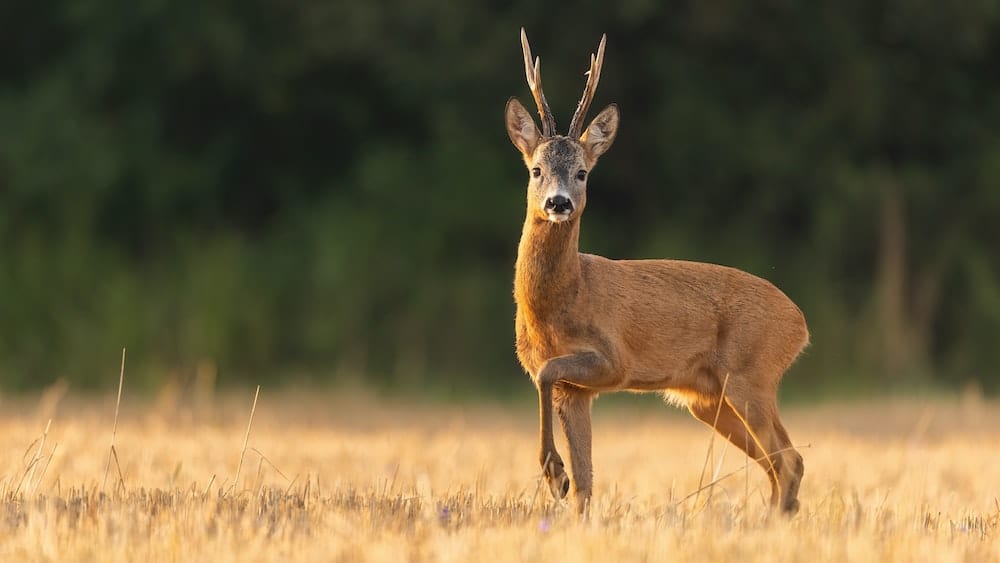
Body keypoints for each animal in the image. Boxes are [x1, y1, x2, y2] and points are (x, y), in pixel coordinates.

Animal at [504, 29, 808, 516]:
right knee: (779, 464)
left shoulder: (613, 360)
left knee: (790, 460)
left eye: (582, 173)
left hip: (751, 375)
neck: (561, 302)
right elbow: (587, 480)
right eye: (536, 170)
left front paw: (553, 473)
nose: (558, 202)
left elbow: (548, 373)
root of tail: (801, 324)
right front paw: (566, 487)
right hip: (709, 398)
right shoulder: (576, 390)